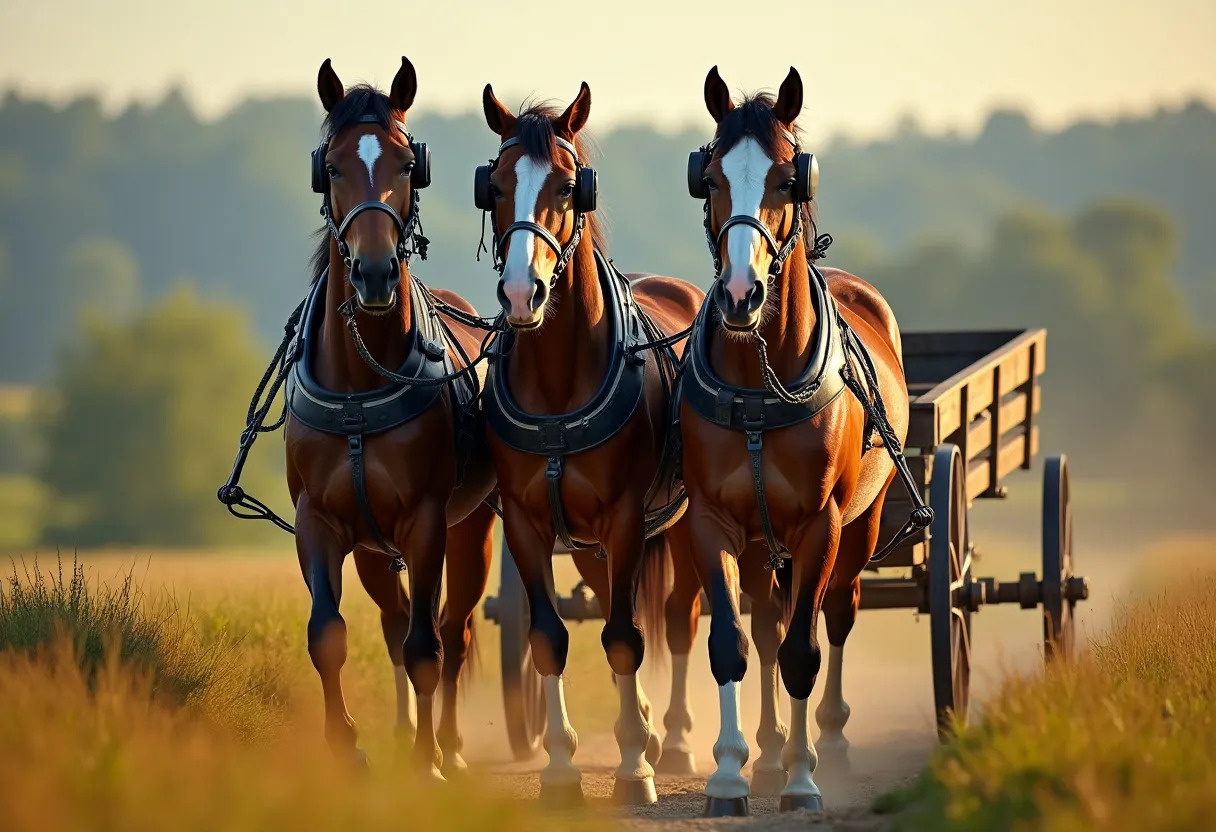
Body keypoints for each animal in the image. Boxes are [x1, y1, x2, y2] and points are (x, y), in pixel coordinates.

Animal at [284, 58, 493, 778]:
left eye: (406, 163)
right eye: (334, 166)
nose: (374, 273)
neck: (361, 379)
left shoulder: (426, 521)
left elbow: (428, 645)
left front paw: (428, 760)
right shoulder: (318, 520)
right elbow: (328, 635)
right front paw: (345, 748)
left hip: (471, 530)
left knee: (451, 627)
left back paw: (448, 745)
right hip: (375, 550)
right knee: (395, 620)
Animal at [476, 84, 705, 807]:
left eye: (567, 185)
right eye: (495, 185)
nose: (522, 293)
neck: (557, 380)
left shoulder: (628, 518)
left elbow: (628, 638)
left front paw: (634, 769)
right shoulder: (528, 524)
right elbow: (550, 637)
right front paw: (559, 767)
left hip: (680, 529)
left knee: (679, 618)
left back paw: (676, 739)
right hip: (586, 544)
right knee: (610, 602)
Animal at [680, 68, 909, 817]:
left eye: (787, 178)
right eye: (711, 178)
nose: (741, 294)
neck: (759, 381)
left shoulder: (819, 524)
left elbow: (804, 651)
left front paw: (804, 781)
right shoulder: (713, 520)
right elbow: (732, 643)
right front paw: (729, 775)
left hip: (861, 526)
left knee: (834, 615)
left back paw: (822, 747)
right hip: (760, 540)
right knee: (766, 625)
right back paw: (766, 756)